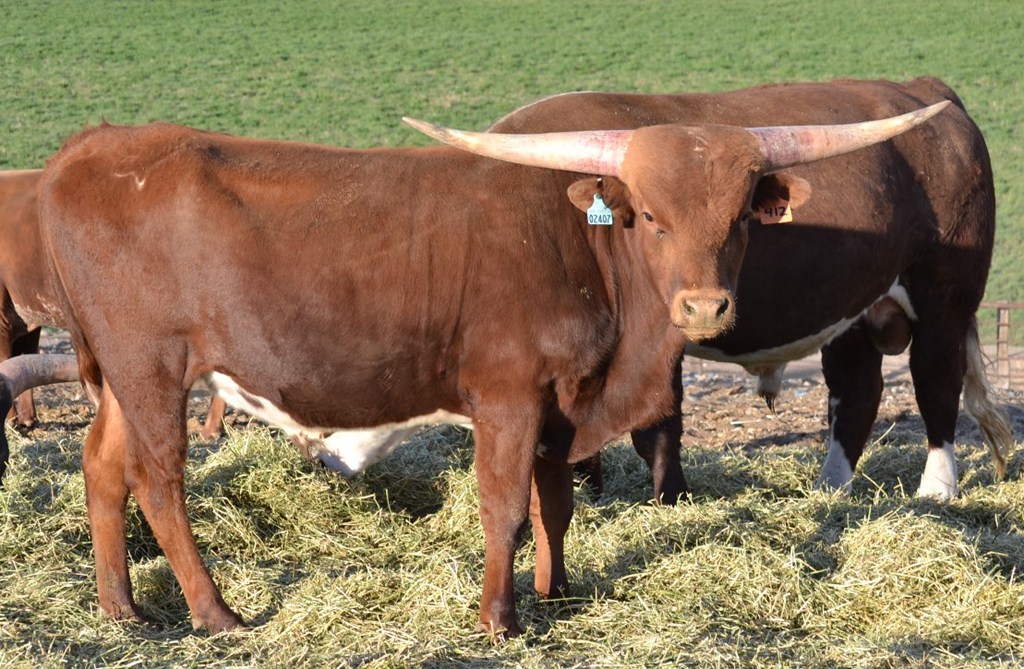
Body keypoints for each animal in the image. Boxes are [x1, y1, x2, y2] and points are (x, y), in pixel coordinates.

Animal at [6, 102, 943, 637]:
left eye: (743, 214)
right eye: (648, 214)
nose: (704, 308)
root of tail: (89, 149)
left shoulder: (563, 400)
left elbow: (557, 503)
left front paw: (557, 592)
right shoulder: (509, 395)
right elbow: (505, 507)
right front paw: (500, 617)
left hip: (120, 372)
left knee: (102, 463)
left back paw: (122, 608)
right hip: (152, 363)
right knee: (160, 478)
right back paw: (216, 613)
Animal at [487, 77, 1012, 503]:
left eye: (742, 217)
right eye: (652, 216)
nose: (705, 307)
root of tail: (924, 88)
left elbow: (658, 429)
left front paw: (672, 501)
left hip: (945, 299)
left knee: (935, 383)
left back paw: (936, 490)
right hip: (854, 310)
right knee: (857, 391)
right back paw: (831, 489)